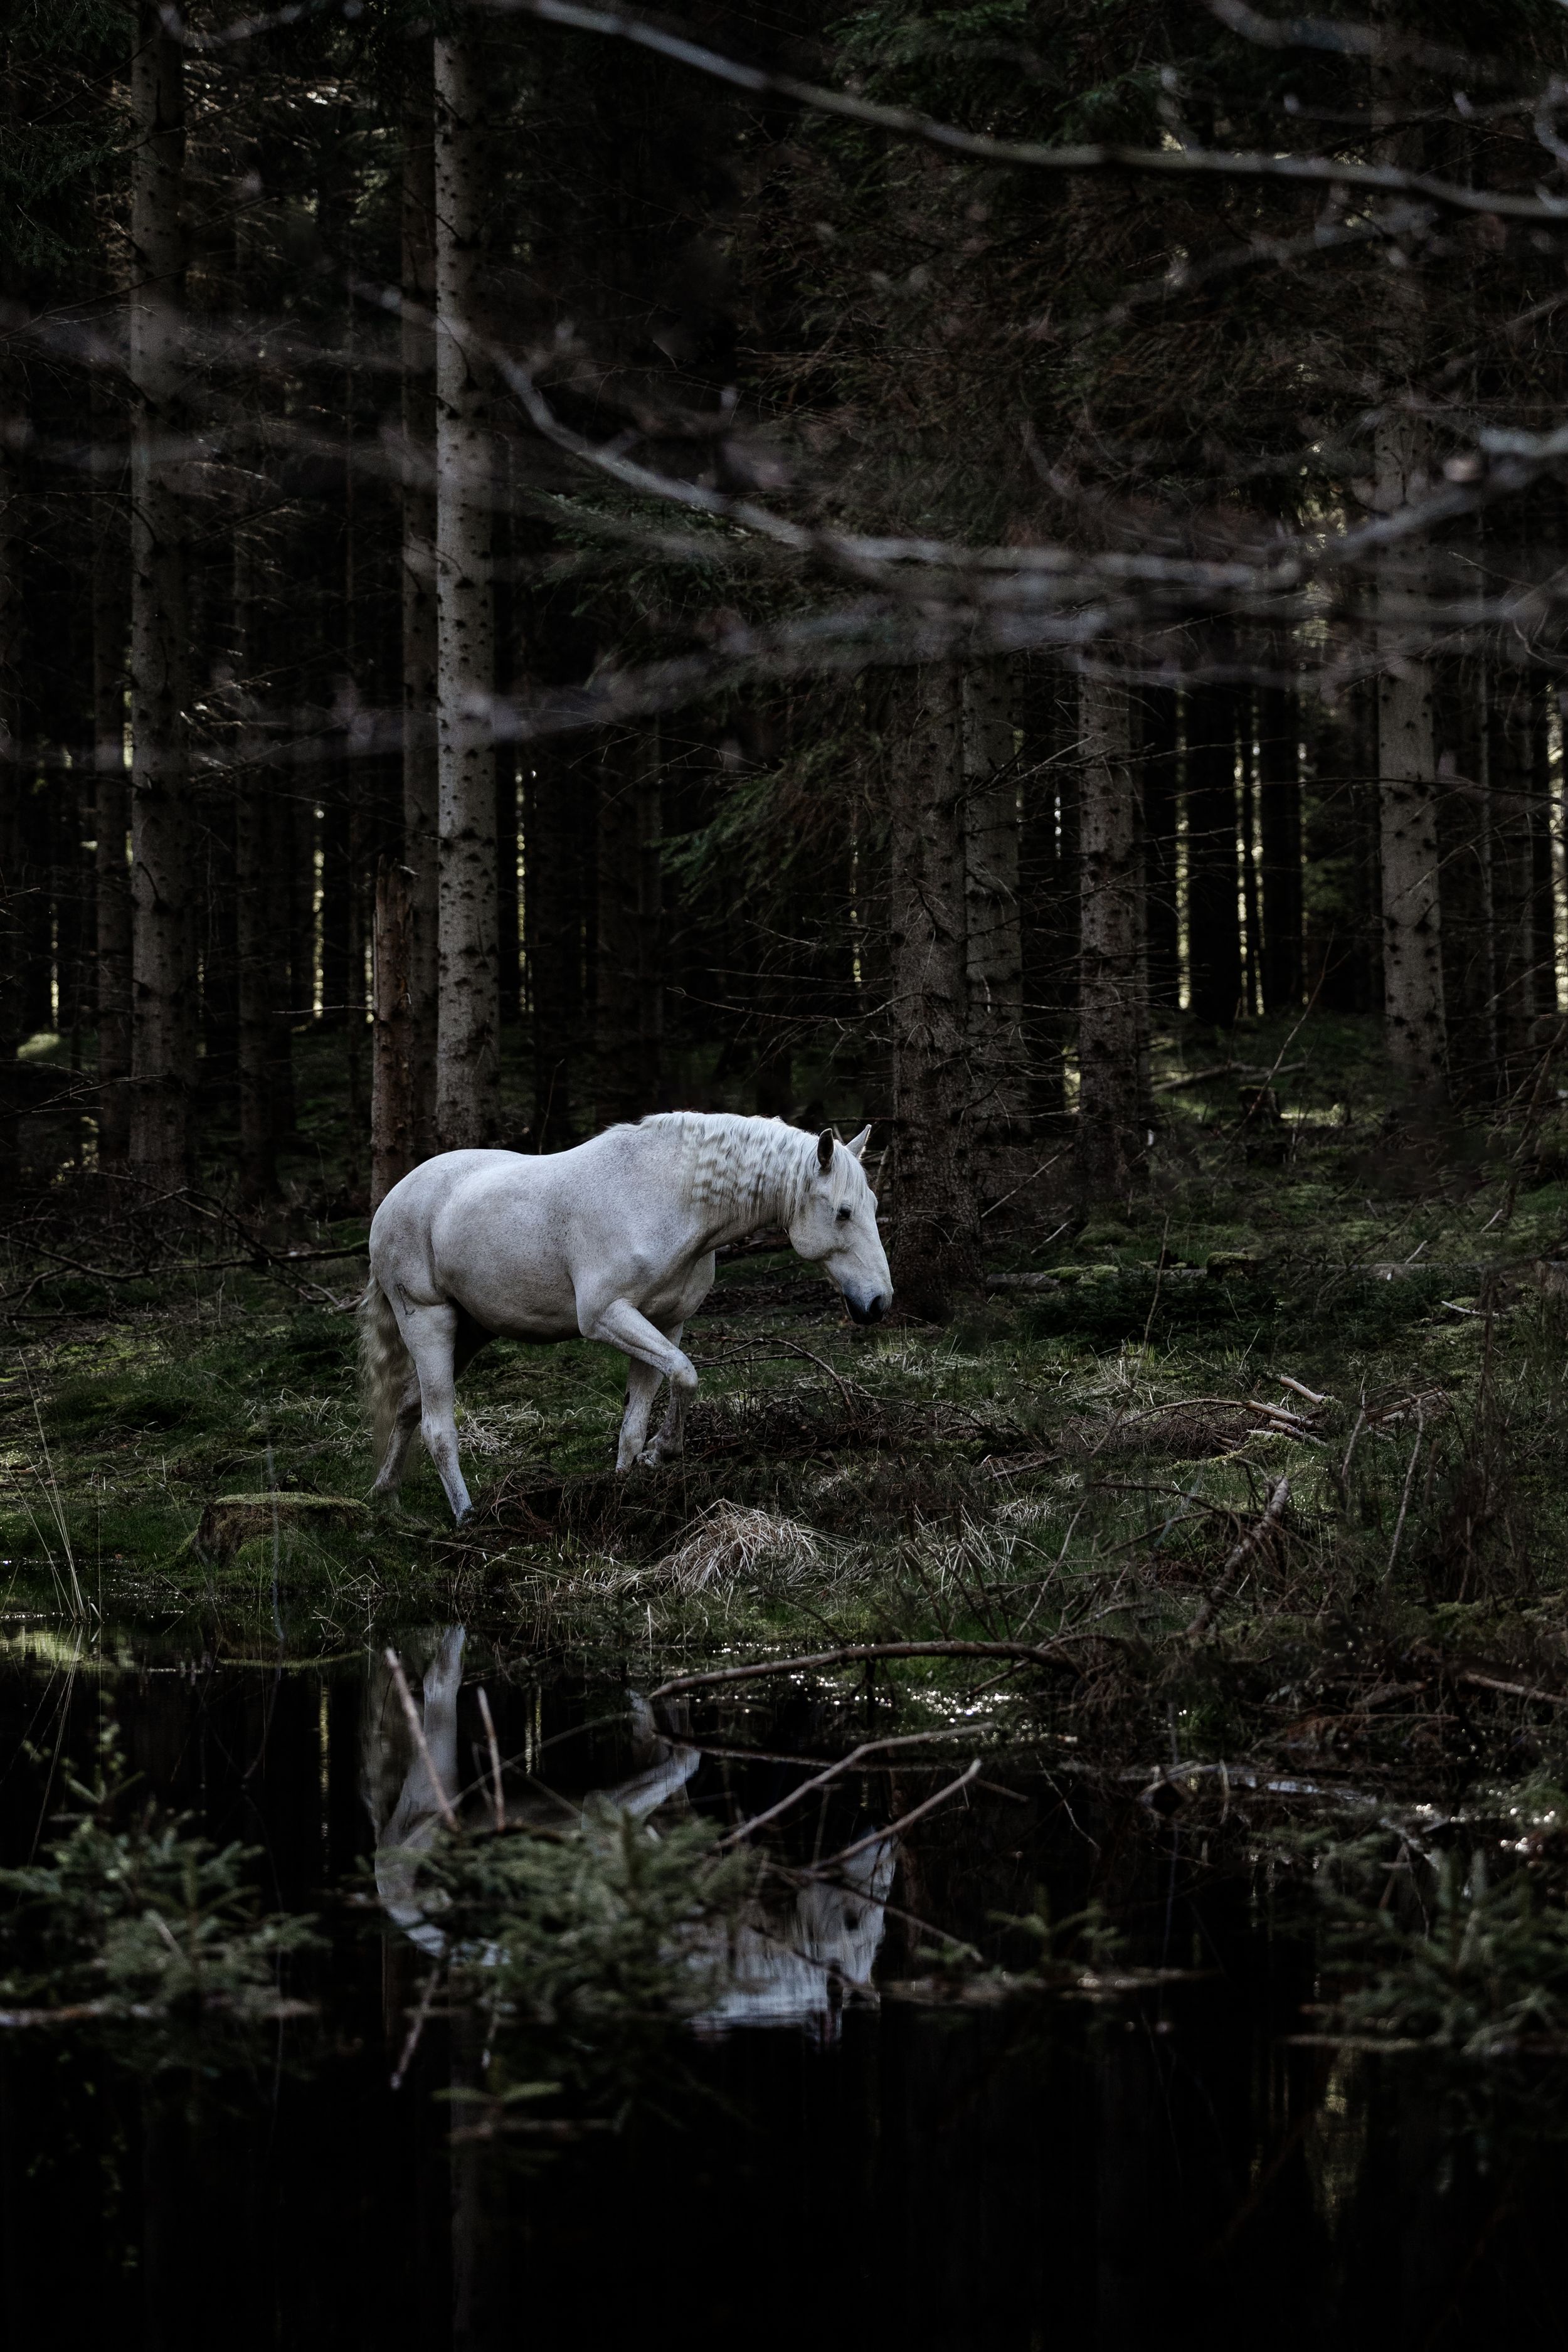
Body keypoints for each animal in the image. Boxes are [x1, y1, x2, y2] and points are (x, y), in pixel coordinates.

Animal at [359, 1111, 892, 1524]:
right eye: (843, 1212)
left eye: (872, 1206)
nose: (879, 1303)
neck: (666, 1198)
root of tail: (394, 1199)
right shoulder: (606, 1317)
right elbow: (685, 1374)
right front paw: (663, 1452)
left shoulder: (665, 1324)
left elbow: (638, 1420)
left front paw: (624, 1492)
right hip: (428, 1324)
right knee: (437, 1427)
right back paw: (467, 1518)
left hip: (469, 1333)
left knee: (409, 1406)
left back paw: (385, 1496)